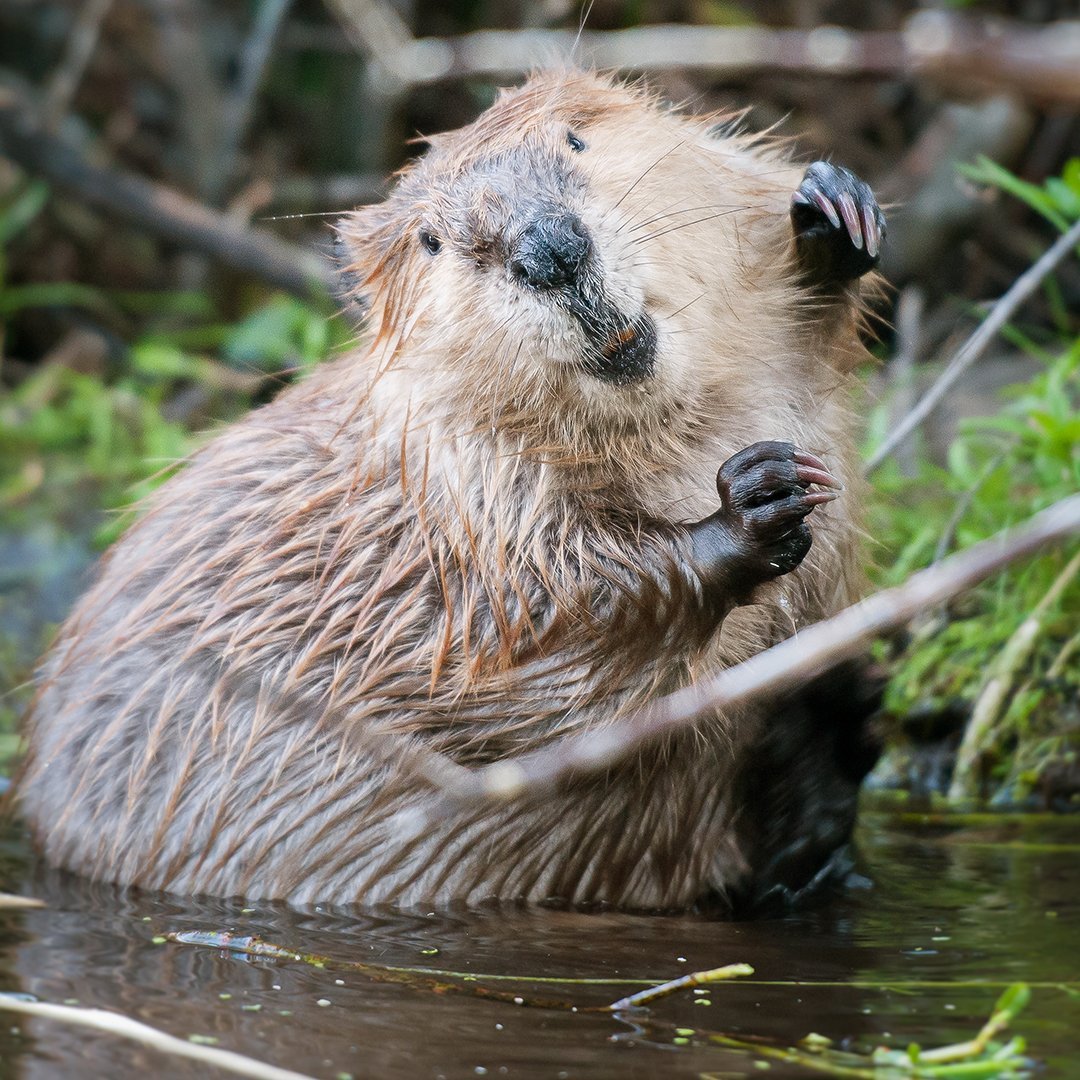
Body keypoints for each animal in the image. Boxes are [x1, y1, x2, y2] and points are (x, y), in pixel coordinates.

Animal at [19, 71, 885, 911]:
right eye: (431, 240)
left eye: (575, 138)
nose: (550, 250)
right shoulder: (460, 502)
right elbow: (542, 657)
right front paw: (754, 502)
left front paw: (833, 214)